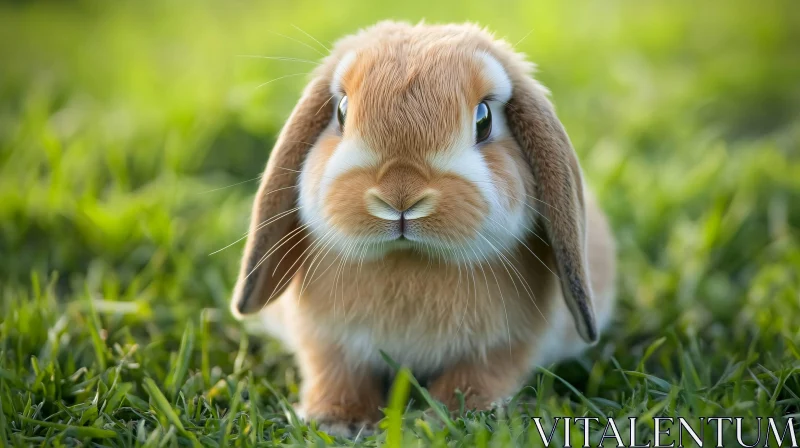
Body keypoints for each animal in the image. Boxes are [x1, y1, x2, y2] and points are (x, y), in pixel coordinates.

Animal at [228, 21, 616, 438]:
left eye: (483, 120)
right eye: (342, 111)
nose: (400, 194)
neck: (410, 259)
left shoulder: (504, 347)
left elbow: (479, 378)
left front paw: (460, 418)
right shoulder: (327, 342)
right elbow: (336, 374)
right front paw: (337, 421)